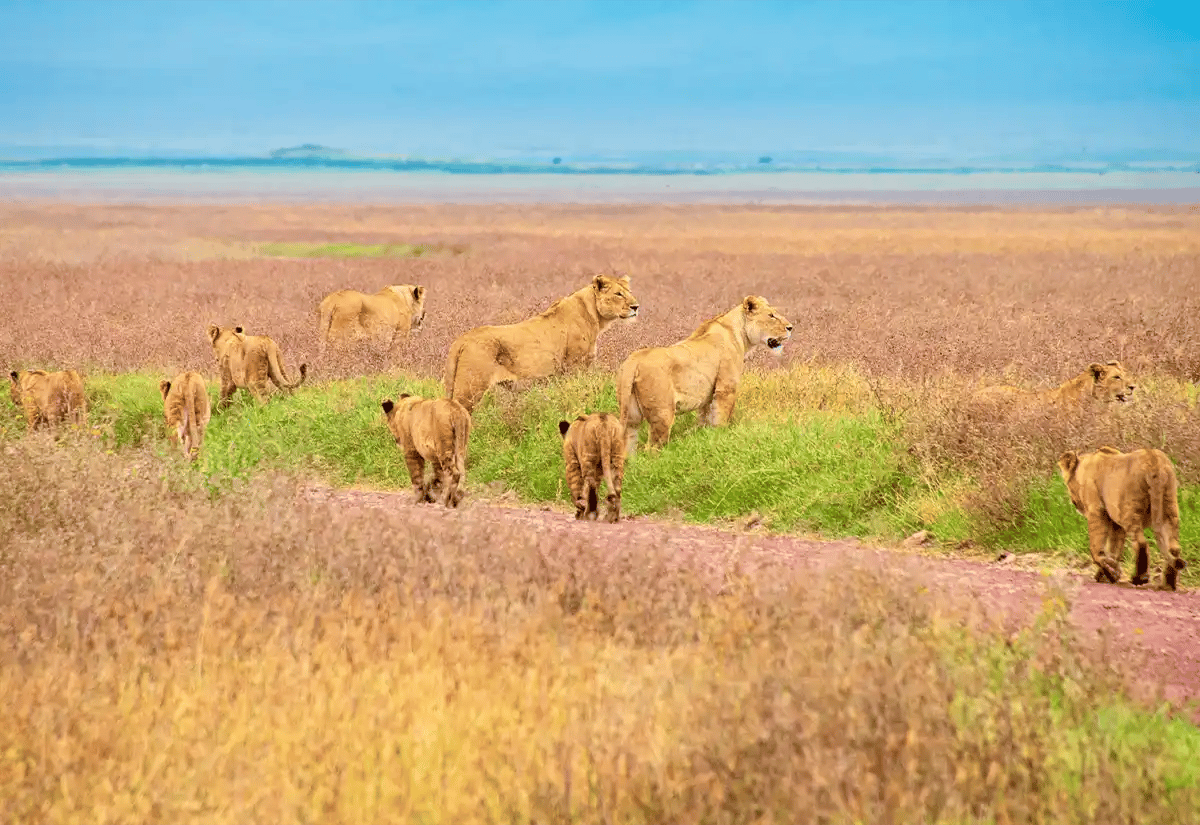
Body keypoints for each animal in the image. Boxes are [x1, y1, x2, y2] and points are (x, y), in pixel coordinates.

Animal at [443, 275, 639, 412]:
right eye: (618, 294)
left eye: (630, 293)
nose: (636, 307)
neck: (594, 316)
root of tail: (461, 339)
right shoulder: (574, 367)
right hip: (469, 390)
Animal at [616, 296, 793, 453]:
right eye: (771, 315)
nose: (791, 327)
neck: (738, 332)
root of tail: (633, 361)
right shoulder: (726, 388)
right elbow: (721, 417)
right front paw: (721, 436)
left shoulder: (707, 398)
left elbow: (705, 418)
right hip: (662, 413)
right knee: (652, 448)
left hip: (631, 416)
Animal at [1057, 446, 1187, 590]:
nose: (1073, 502)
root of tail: (1153, 461)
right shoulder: (1116, 524)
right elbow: (1114, 549)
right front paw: (1109, 573)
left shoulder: (1096, 512)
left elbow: (1096, 548)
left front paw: (1110, 573)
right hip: (1169, 507)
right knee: (1173, 548)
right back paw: (1168, 585)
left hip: (1129, 511)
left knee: (1141, 543)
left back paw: (1139, 578)